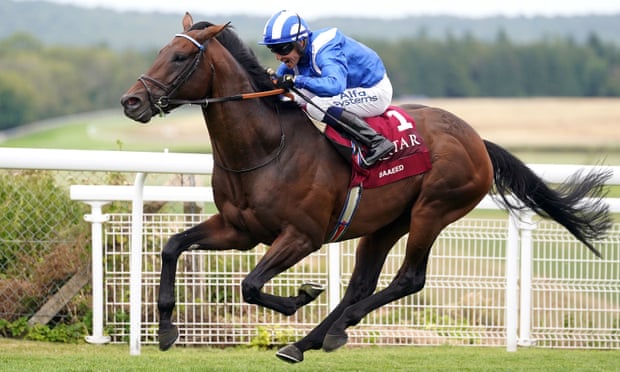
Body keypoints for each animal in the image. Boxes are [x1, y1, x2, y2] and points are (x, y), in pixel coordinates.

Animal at [120, 12, 612, 364]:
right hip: (385, 223)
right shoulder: (239, 230)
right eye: (161, 51)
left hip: (433, 209)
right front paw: (165, 328)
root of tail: (477, 142)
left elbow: (251, 285)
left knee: (408, 278)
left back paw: (337, 327)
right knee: (361, 283)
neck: (265, 147)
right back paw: (308, 341)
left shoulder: (302, 236)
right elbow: (173, 246)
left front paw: (301, 297)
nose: (131, 101)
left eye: (180, 58)